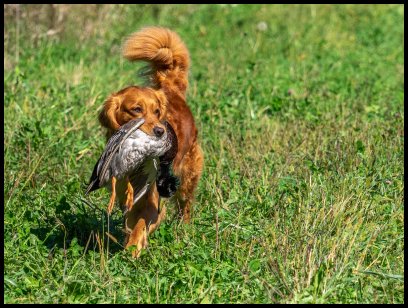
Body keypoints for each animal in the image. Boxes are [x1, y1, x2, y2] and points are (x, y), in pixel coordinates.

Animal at [96, 27, 204, 258]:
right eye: (136, 109)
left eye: (156, 111)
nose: (160, 131)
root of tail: (171, 90)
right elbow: (131, 218)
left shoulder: (152, 197)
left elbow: (141, 223)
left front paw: (133, 247)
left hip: (188, 174)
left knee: (185, 204)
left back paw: (184, 227)